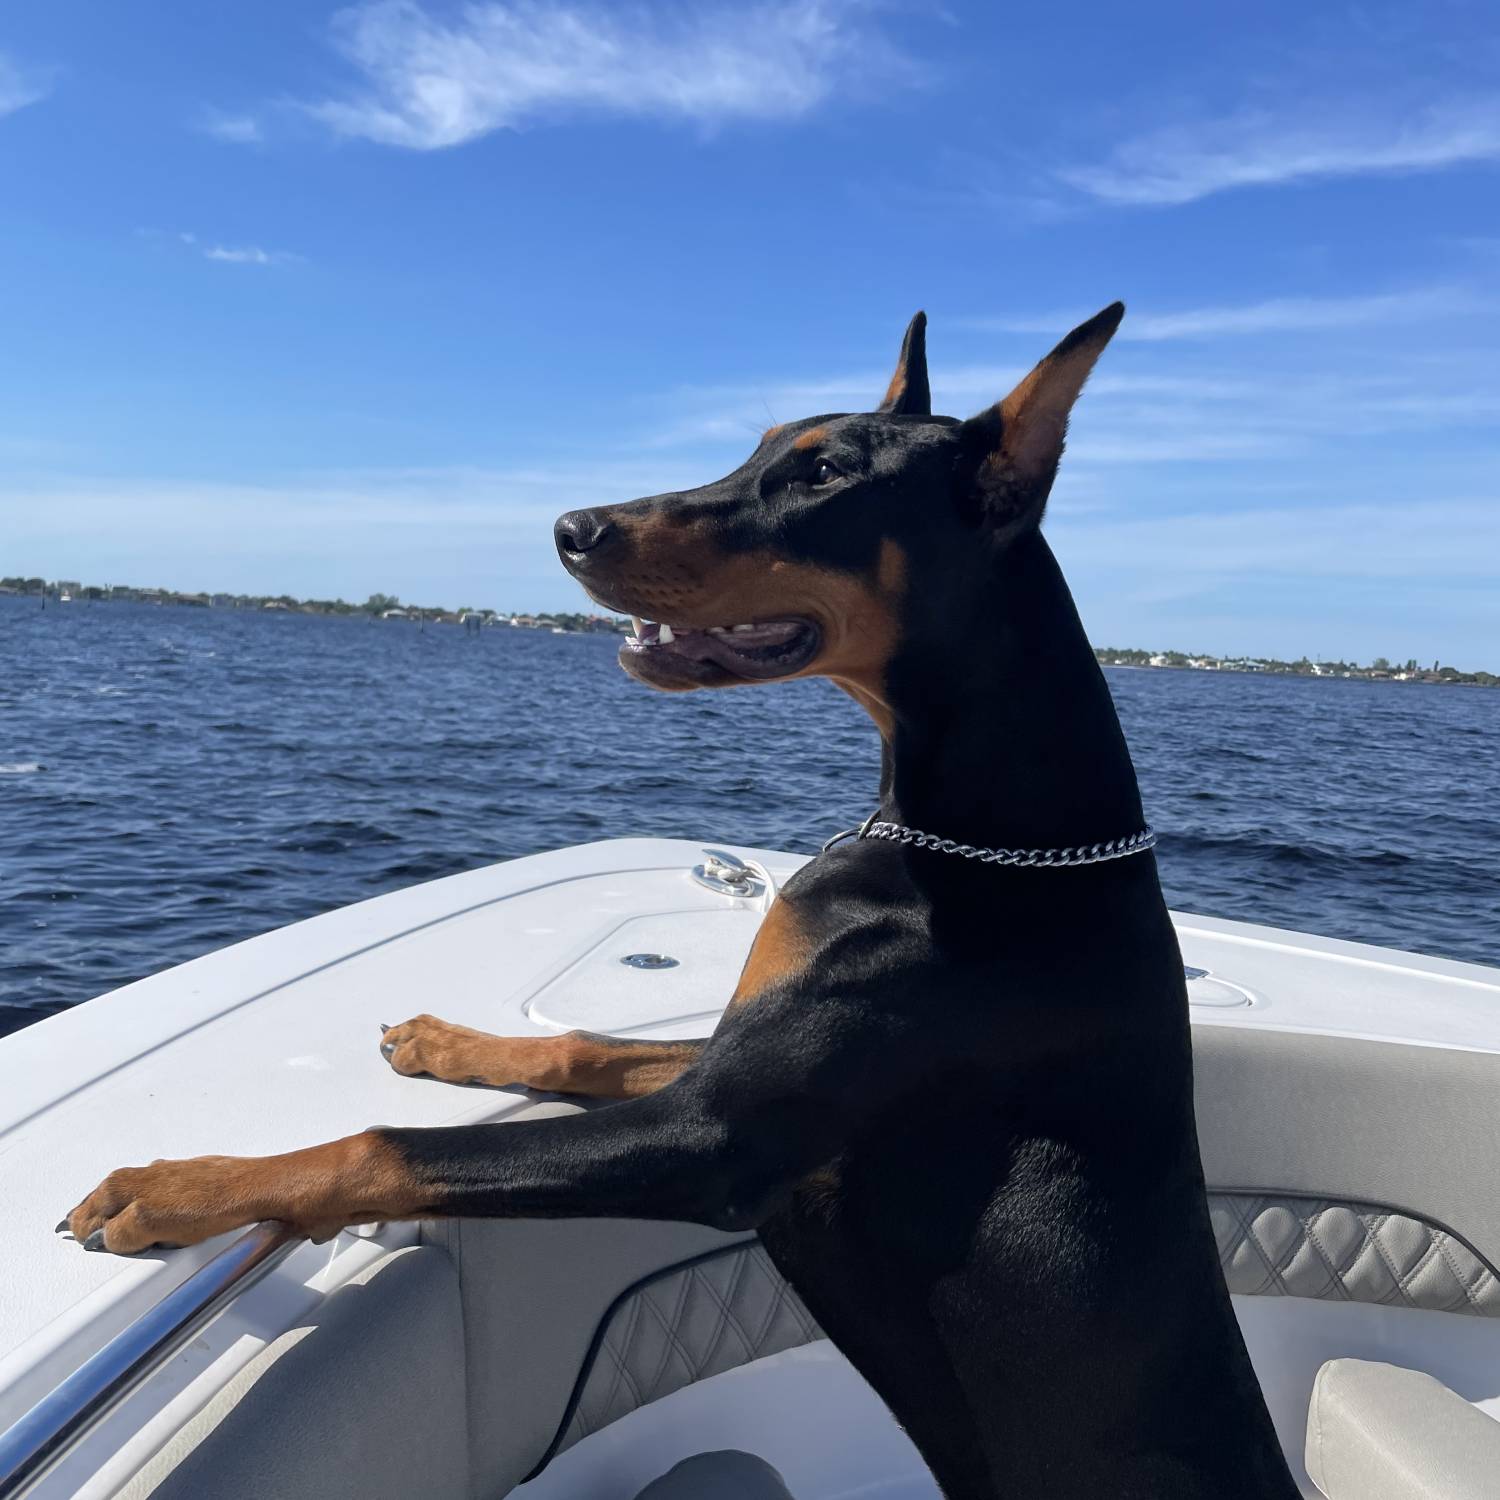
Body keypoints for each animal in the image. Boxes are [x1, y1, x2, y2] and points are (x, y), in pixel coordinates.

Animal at [64, 307, 1296, 1500]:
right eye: (758, 448)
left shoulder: (717, 1138)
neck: (997, 847)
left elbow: (387, 1146)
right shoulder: (728, 1056)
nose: (571, 527)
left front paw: (176, 1187)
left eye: (823, 474)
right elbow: (582, 1048)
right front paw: (445, 1041)